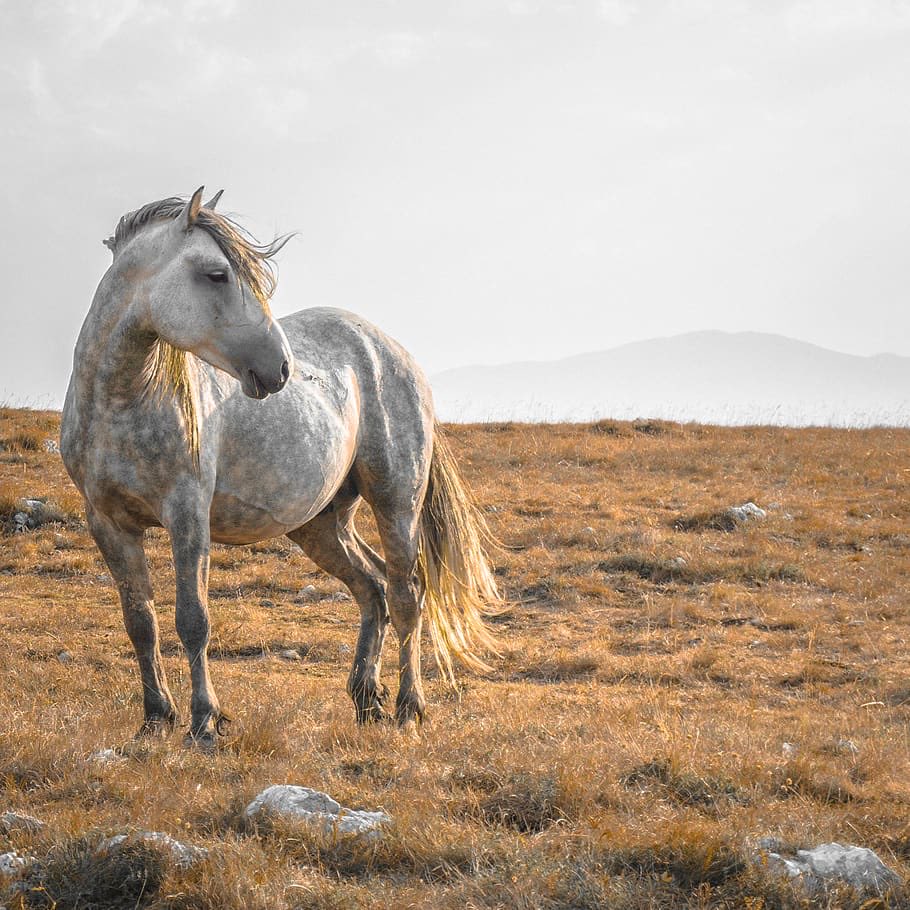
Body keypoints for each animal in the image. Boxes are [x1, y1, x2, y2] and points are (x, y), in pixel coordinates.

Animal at [61, 186, 500, 748]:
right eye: (217, 274)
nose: (281, 368)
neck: (121, 402)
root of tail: (393, 352)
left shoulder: (187, 515)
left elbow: (192, 620)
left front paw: (205, 723)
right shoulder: (107, 522)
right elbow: (141, 623)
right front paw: (155, 720)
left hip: (396, 503)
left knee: (406, 595)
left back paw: (408, 707)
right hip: (320, 524)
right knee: (373, 588)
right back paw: (366, 699)